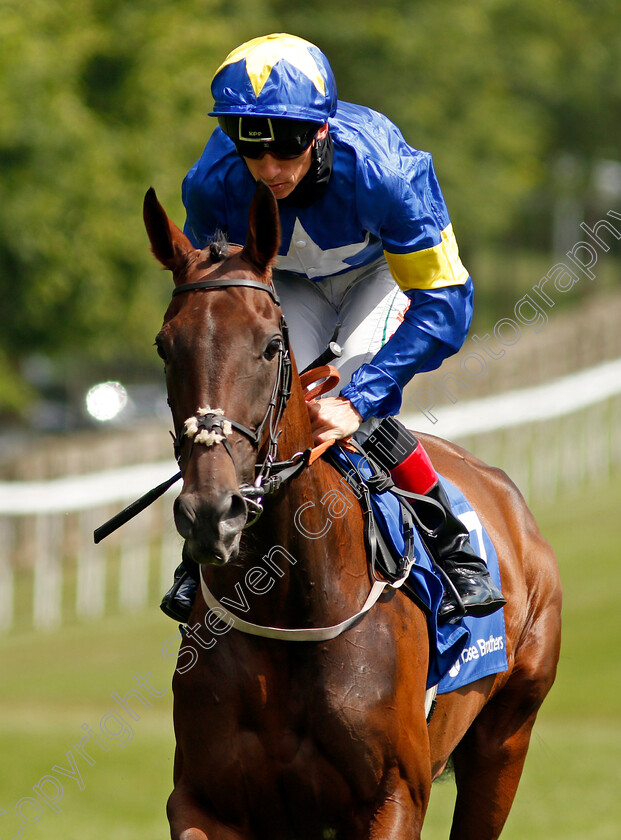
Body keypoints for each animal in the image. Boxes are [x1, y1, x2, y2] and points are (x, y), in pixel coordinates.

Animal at [145, 179, 560, 840]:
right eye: (165, 346)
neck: (291, 604)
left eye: (271, 346)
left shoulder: (394, 798)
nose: (213, 512)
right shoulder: (204, 802)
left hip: (506, 739)